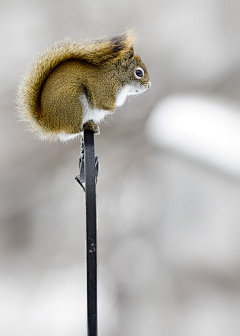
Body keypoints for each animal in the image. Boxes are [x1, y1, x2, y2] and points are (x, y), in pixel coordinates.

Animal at [17, 31, 150, 142]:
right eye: (139, 73)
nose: (149, 86)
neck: (116, 76)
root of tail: (51, 123)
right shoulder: (104, 89)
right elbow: (103, 104)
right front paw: (113, 109)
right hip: (74, 103)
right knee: (73, 129)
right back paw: (89, 126)